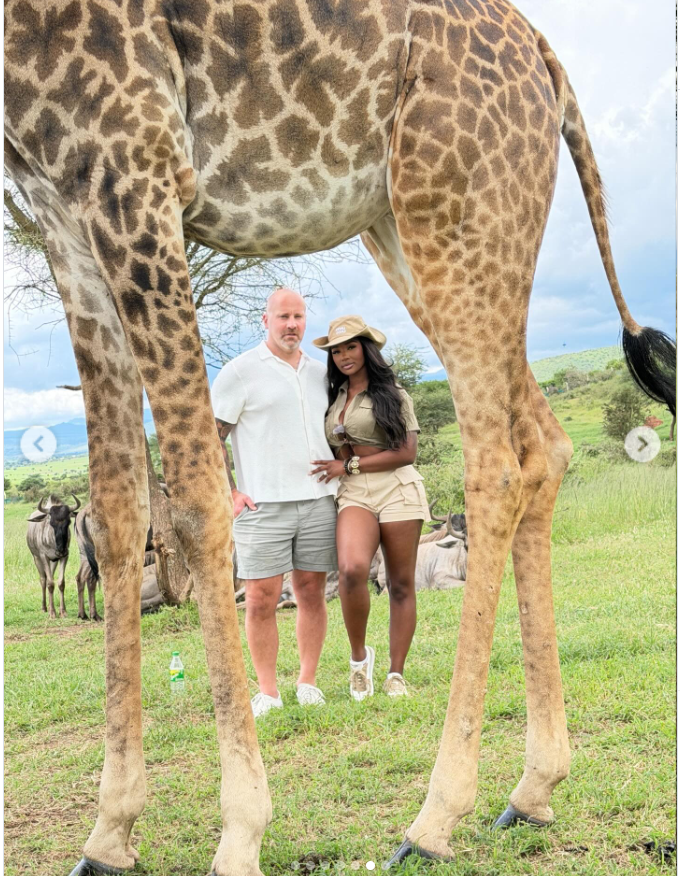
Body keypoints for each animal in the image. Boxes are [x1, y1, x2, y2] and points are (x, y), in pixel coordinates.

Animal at [4, 0, 675, 873]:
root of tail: (543, 54)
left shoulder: (135, 171)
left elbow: (195, 500)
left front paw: (240, 831)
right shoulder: (63, 213)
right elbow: (119, 512)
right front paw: (109, 832)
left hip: (453, 211)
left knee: (499, 461)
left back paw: (433, 817)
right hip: (417, 225)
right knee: (546, 444)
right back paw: (532, 789)